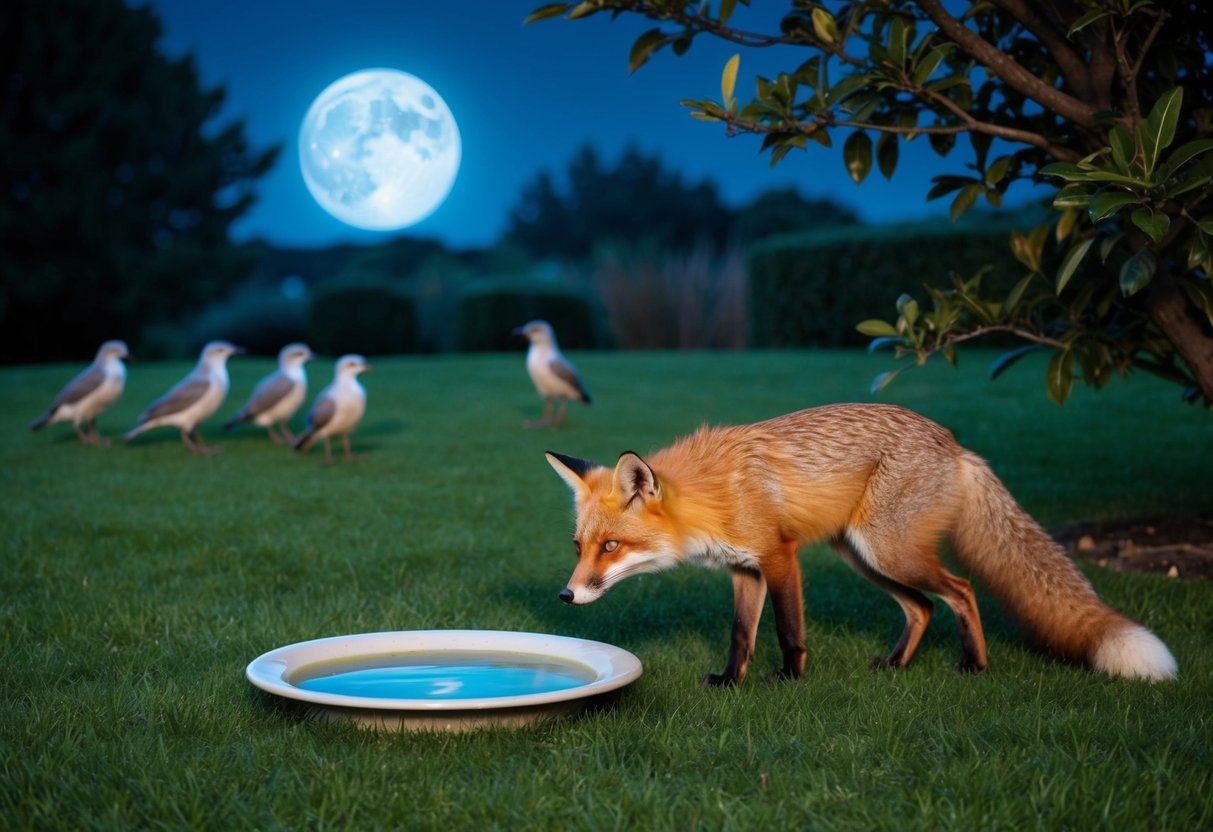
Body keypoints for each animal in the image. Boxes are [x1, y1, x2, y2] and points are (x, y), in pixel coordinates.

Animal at [545, 403, 1177, 684]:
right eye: (578, 546)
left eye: (611, 547)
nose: (566, 596)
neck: (712, 496)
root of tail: (955, 445)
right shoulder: (744, 571)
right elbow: (740, 634)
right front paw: (730, 681)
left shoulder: (779, 557)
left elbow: (788, 630)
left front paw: (791, 679)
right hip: (865, 558)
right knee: (922, 608)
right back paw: (897, 665)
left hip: (888, 551)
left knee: (962, 590)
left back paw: (974, 664)